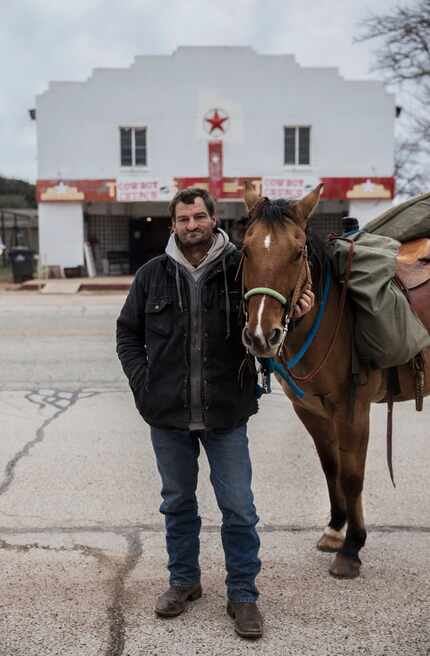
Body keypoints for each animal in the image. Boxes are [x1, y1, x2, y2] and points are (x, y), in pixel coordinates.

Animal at [240, 182, 428, 576]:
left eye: (297, 253)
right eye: (246, 250)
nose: (261, 335)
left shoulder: (352, 408)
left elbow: (352, 476)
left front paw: (352, 548)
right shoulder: (310, 409)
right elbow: (331, 467)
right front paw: (334, 529)